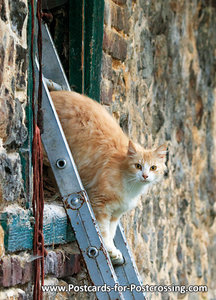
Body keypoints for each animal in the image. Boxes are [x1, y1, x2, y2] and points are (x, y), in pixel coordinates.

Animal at [49, 91, 167, 264]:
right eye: (138, 166)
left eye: (153, 168)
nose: (145, 176)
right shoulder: (101, 204)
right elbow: (103, 232)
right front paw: (108, 250)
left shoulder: (116, 213)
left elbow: (111, 233)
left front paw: (114, 252)